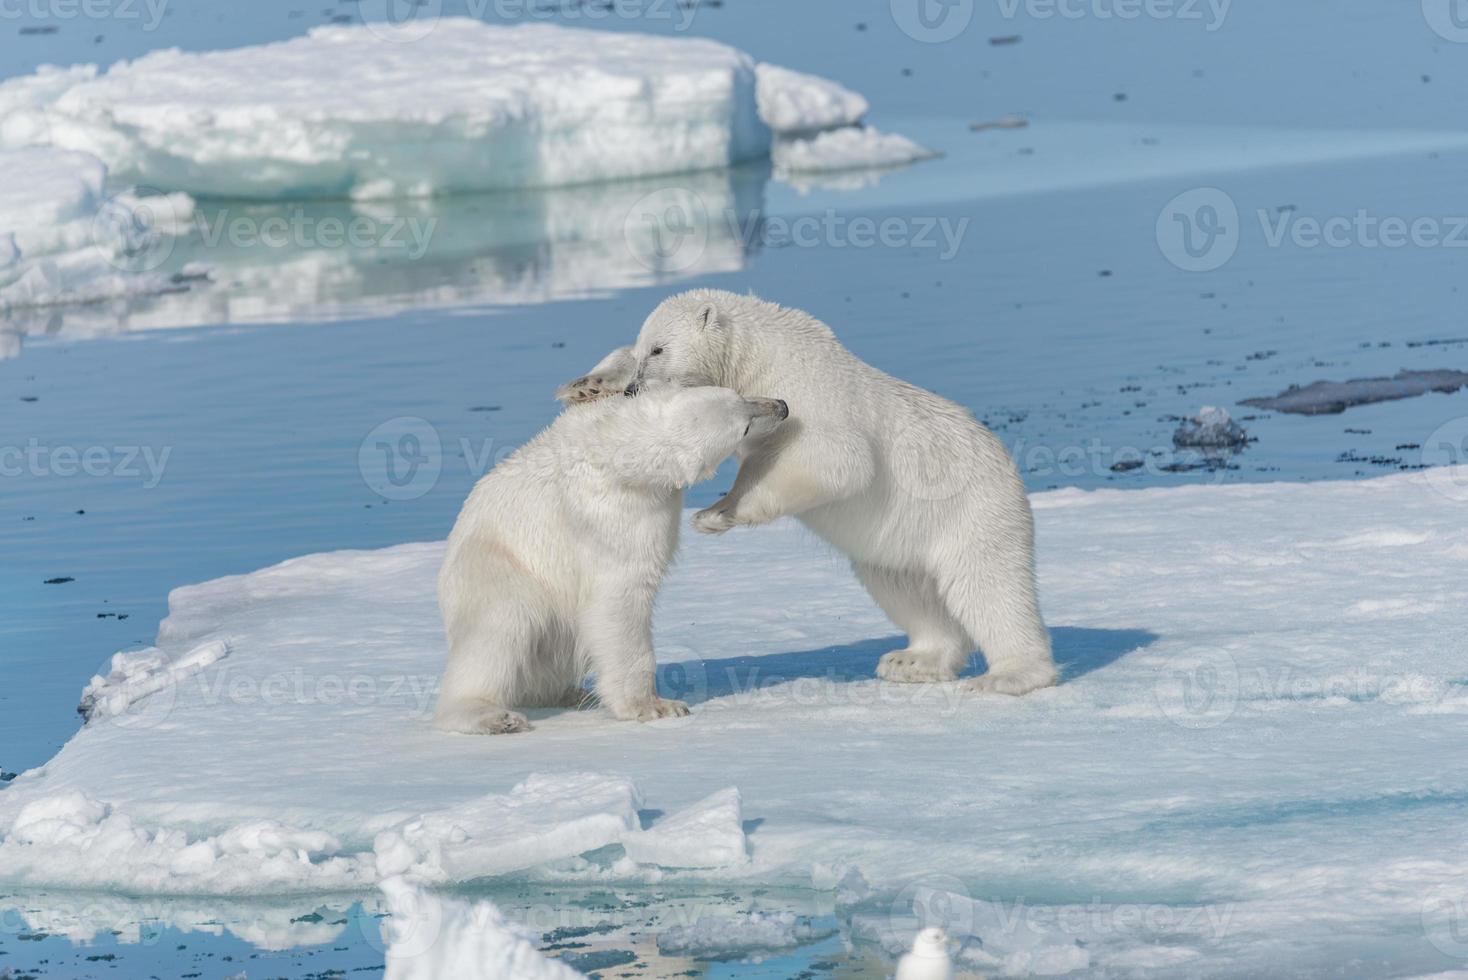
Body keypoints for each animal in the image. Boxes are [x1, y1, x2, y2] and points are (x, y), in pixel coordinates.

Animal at [431, 384, 786, 733]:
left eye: (739, 395)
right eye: (744, 427)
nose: (781, 406)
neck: (611, 448)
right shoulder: (615, 517)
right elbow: (619, 598)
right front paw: (655, 705)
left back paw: (567, 691)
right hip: (499, 571)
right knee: (499, 630)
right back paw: (493, 716)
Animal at [557, 290, 1056, 695]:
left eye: (659, 348)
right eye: (641, 348)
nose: (635, 387)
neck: (765, 351)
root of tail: (1009, 467)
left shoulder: (807, 396)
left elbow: (837, 460)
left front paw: (716, 514)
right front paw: (586, 385)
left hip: (974, 512)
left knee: (989, 588)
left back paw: (1010, 674)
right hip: (898, 544)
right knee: (903, 588)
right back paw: (913, 660)